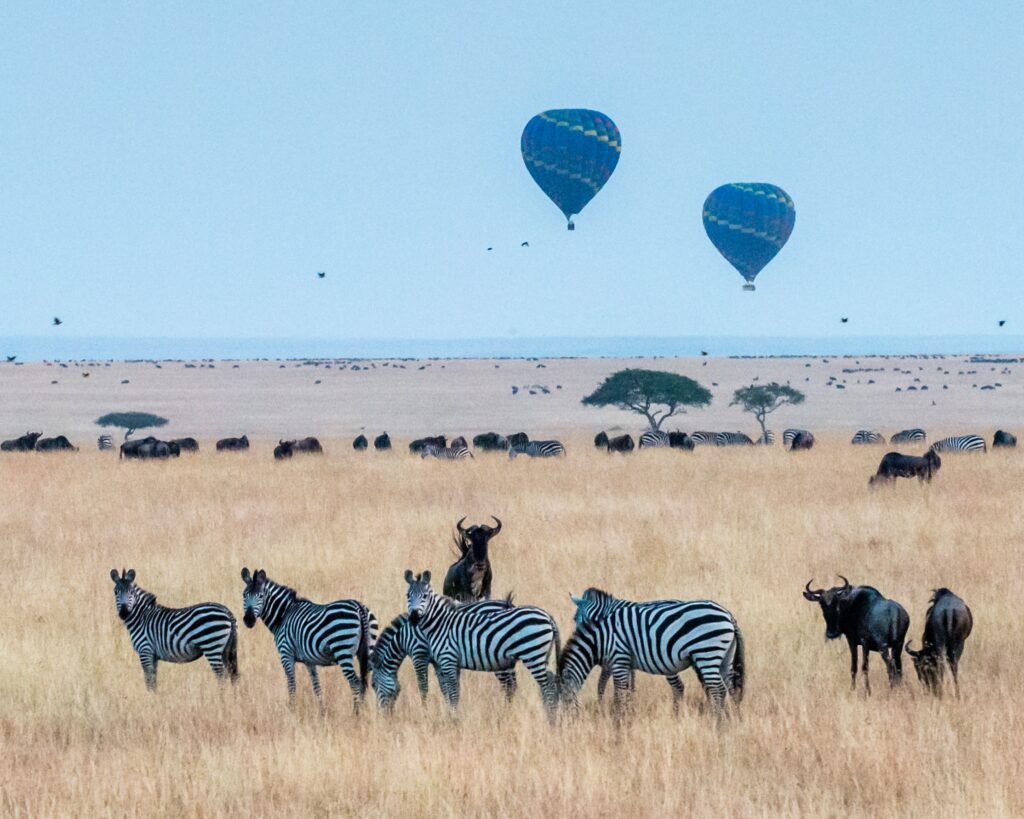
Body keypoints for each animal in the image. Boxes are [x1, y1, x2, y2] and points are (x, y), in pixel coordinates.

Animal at [110, 568, 238, 691]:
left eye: (131, 592)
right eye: (115, 592)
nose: (124, 613)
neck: (142, 617)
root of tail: (226, 610)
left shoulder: (145, 651)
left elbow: (149, 681)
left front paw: (149, 697)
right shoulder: (153, 656)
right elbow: (154, 681)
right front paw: (155, 697)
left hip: (211, 646)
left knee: (221, 676)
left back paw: (220, 697)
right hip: (226, 649)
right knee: (232, 674)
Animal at [241, 568, 378, 710]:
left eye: (261, 596)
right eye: (244, 595)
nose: (248, 620)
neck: (284, 615)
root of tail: (359, 607)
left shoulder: (286, 654)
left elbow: (291, 685)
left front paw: (292, 709)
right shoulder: (309, 661)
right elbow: (317, 687)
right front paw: (322, 711)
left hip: (342, 649)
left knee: (355, 683)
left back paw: (356, 712)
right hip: (368, 650)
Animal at [370, 602, 518, 711]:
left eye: (373, 685)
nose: (382, 715)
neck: (404, 636)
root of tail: (507, 604)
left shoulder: (419, 654)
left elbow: (423, 686)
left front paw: (424, 710)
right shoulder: (438, 660)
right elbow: (444, 687)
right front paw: (449, 708)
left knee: (509, 686)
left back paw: (505, 712)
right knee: (513, 685)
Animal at [403, 570, 560, 714]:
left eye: (425, 596)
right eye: (407, 596)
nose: (414, 618)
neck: (440, 623)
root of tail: (548, 617)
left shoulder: (433, 657)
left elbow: (436, 689)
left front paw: (444, 715)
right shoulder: (444, 662)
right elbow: (449, 691)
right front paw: (450, 713)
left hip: (531, 655)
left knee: (545, 686)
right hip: (536, 656)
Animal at [559, 593, 743, 717]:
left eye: (576, 618)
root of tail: (728, 616)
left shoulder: (618, 658)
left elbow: (614, 689)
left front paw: (618, 715)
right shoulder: (623, 661)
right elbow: (624, 687)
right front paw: (624, 710)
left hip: (706, 653)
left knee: (715, 689)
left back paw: (716, 720)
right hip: (723, 658)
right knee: (731, 688)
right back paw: (734, 718)